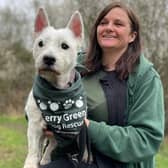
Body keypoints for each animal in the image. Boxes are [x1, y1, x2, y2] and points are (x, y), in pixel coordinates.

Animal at [23, 7, 90, 168]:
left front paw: (84, 155)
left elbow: (58, 144)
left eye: (64, 46)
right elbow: (33, 148)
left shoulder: (73, 127)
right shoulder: (34, 125)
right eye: (40, 43)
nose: (48, 58)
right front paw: (31, 163)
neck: (57, 90)